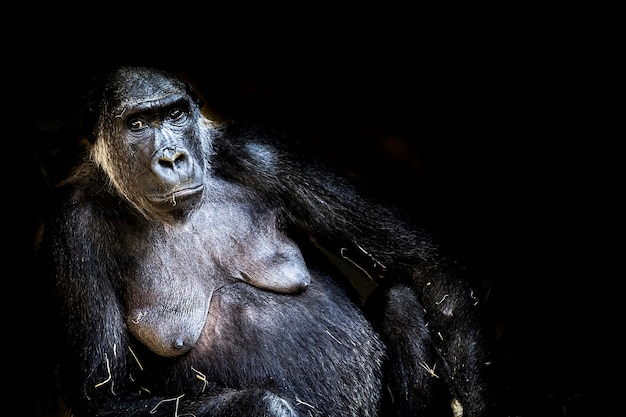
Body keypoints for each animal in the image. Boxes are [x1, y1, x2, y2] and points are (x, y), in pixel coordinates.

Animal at [36, 66, 490, 416]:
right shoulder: (72, 231)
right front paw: (269, 406)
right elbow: (106, 397)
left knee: (403, 297)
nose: (171, 157)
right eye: (138, 124)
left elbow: (423, 263)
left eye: (175, 113)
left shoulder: (261, 154)